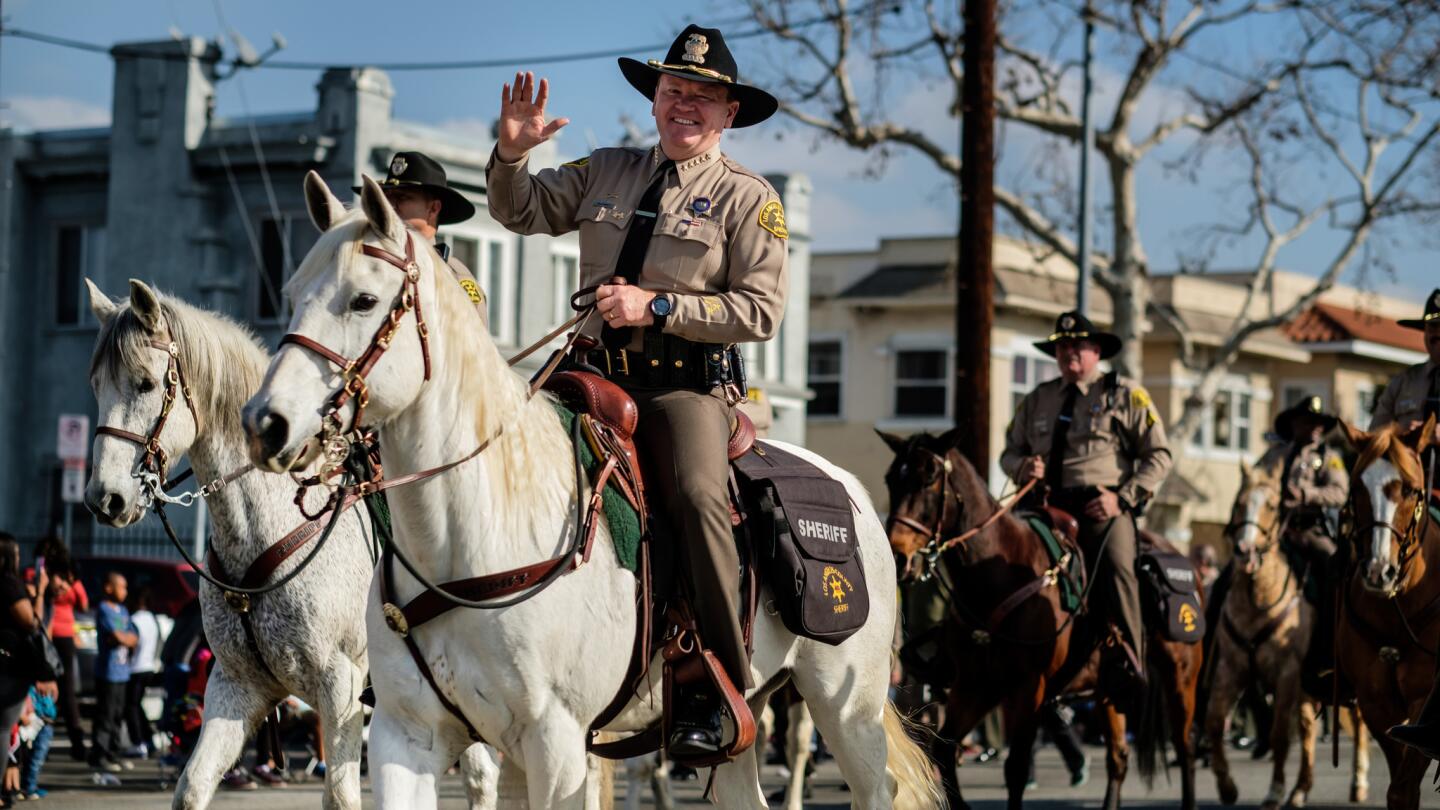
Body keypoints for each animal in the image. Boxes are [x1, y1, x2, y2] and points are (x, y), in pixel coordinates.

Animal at [82, 279, 501, 807]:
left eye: (145, 383)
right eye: (96, 385)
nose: (105, 499)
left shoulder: (341, 688)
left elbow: (341, 795)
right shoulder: (235, 687)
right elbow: (193, 786)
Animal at [239, 170, 944, 807]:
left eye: (363, 300)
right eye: (292, 292)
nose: (265, 422)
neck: (472, 535)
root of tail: (853, 492)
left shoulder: (556, 747)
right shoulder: (404, 738)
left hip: (846, 706)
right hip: (743, 723)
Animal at [875, 426, 1203, 801]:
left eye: (929, 478)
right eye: (891, 479)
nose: (896, 556)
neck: (996, 579)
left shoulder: (1030, 688)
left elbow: (1016, 767)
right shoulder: (974, 686)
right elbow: (943, 753)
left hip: (1181, 677)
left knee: (1185, 747)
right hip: (1107, 691)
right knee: (1118, 757)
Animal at [1330, 415, 1434, 807]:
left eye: (1410, 489)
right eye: (1358, 486)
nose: (1379, 571)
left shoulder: (1424, 698)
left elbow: (1405, 783)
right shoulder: (1376, 704)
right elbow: (1399, 789)